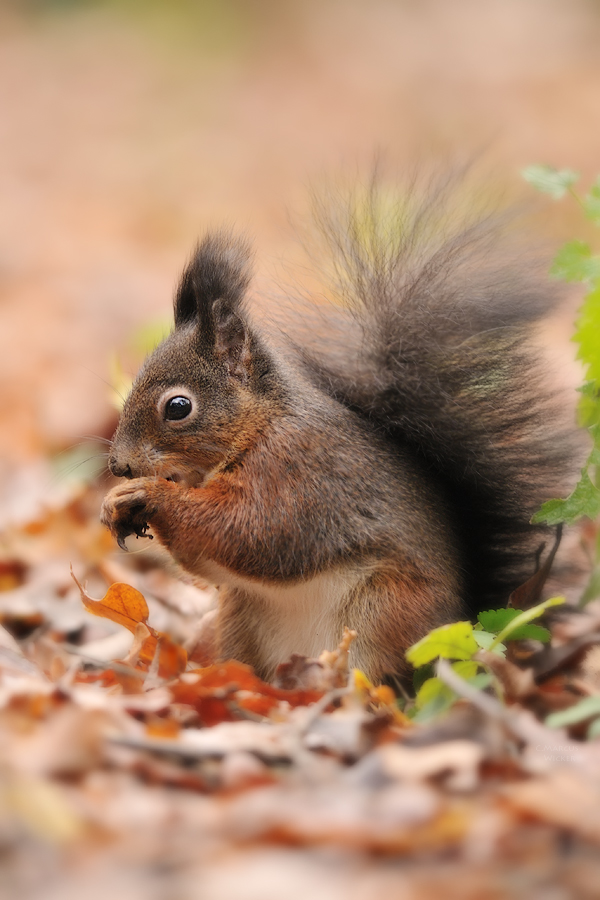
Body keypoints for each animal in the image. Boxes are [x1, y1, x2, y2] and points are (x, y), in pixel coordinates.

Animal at [101, 176, 584, 684]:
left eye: (178, 407)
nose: (119, 465)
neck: (258, 427)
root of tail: (464, 624)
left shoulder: (301, 474)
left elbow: (254, 531)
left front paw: (149, 494)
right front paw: (115, 503)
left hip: (385, 611)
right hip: (240, 618)